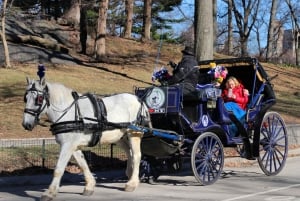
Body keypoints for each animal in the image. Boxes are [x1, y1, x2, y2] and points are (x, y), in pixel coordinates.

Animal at [22, 77, 151, 201]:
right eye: (25, 98)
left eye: (39, 99)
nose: (26, 124)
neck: (69, 112)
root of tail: (138, 100)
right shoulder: (72, 145)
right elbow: (82, 164)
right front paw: (89, 186)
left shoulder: (67, 145)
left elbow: (58, 169)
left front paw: (49, 192)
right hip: (119, 137)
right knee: (129, 153)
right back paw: (129, 174)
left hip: (134, 133)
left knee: (136, 155)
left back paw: (132, 183)